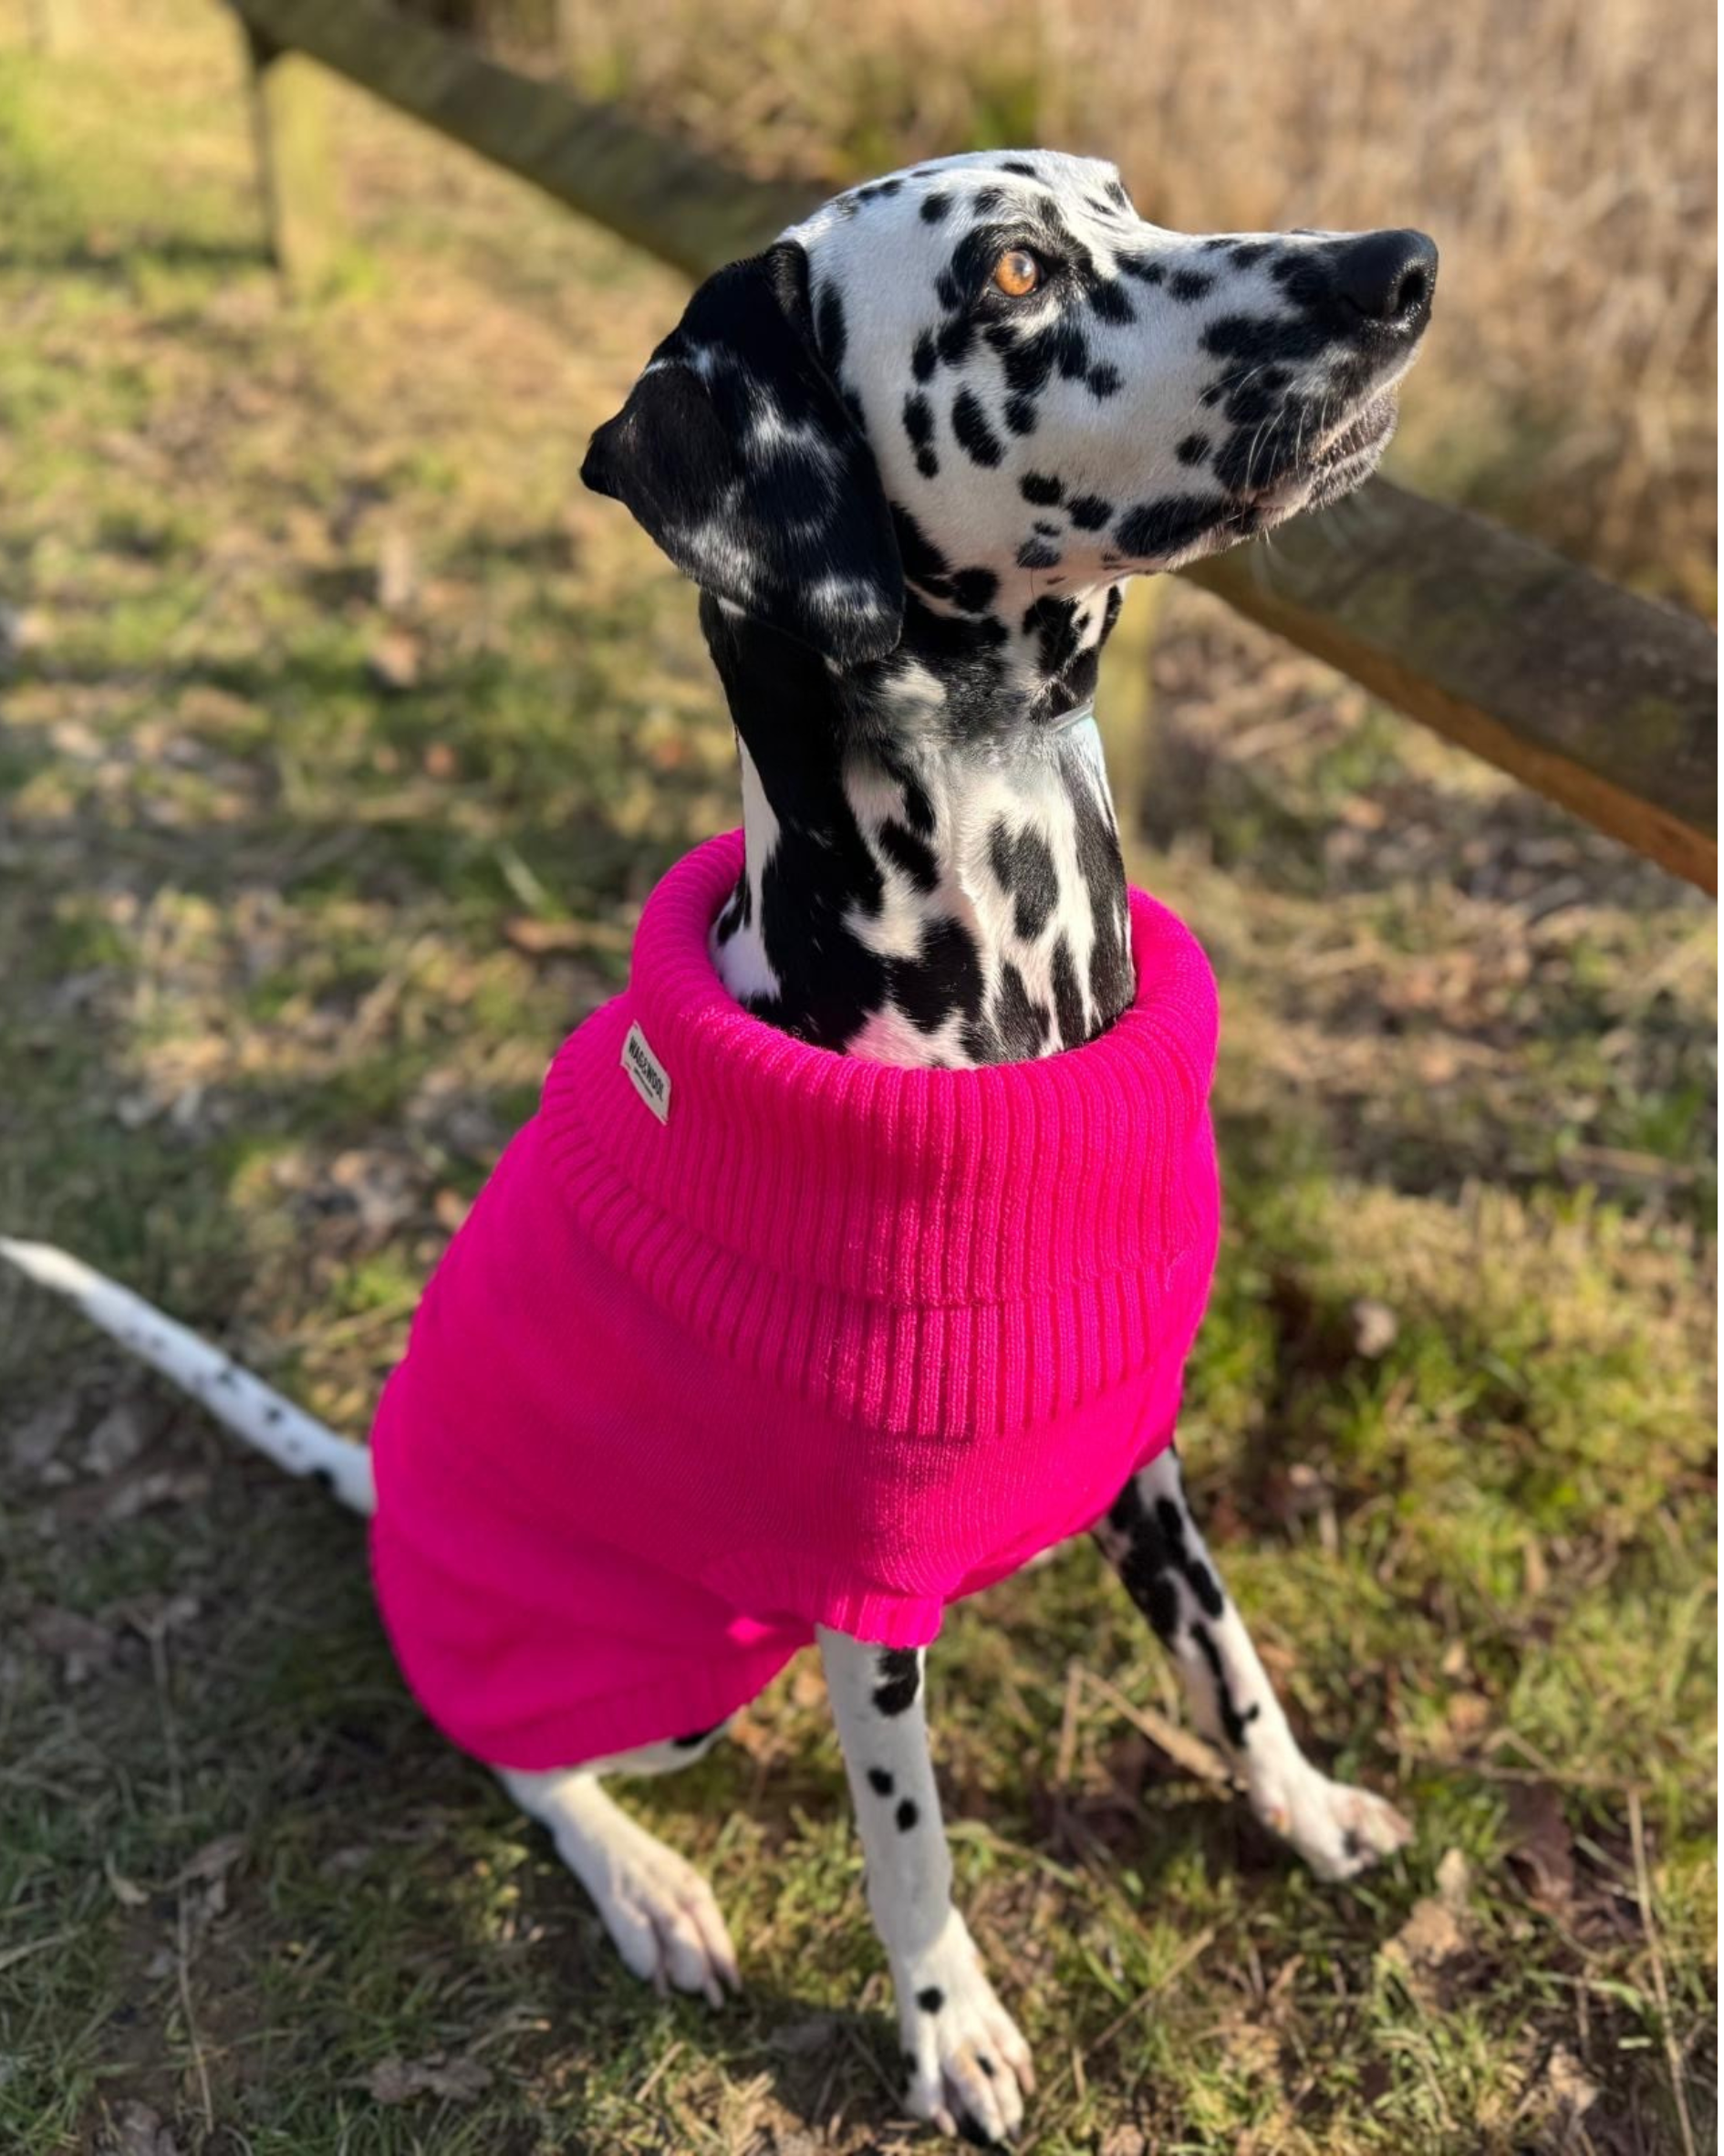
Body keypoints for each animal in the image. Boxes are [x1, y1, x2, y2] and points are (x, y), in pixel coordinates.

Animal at [0, 147, 1430, 2139]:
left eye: (1126, 198)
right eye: (1011, 270)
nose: (1406, 265)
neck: (1002, 988)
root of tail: (385, 1501)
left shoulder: (1141, 1451)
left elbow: (1226, 1652)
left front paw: (1298, 1809)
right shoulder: (861, 1603)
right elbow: (909, 1840)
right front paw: (949, 2026)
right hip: (674, 1672)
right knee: (511, 1748)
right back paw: (648, 1882)